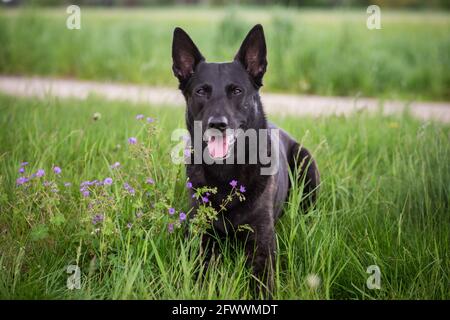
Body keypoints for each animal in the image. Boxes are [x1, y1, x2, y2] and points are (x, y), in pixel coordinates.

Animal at [170, 24, 320, 296]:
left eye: (237, 91)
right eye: (201, 91)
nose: (218, 124)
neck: (226, 173)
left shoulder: (262, 243)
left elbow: (261, 284)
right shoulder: (201, 237)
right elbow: (199, 275)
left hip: (306, 163)